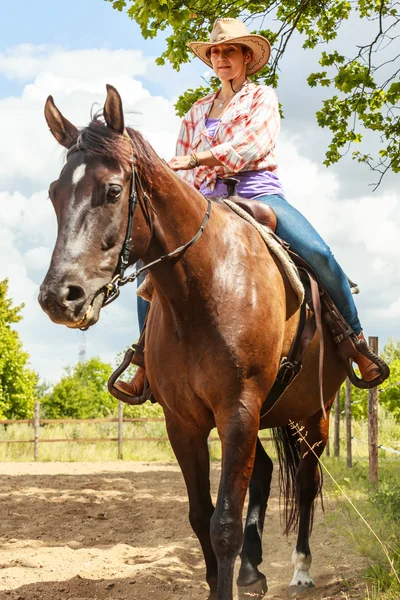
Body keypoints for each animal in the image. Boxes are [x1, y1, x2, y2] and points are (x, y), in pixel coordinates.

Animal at [39, 85, 346, 600]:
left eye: (113, 190)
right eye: (53, 193)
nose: (60, 297)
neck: (204, 286)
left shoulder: (238, 410)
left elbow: (224, 522)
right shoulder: (184, 422)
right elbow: (201, 515)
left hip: (314, 414)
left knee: (306, 481)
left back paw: (301, 570)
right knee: (265, 474)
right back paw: (252, 570)